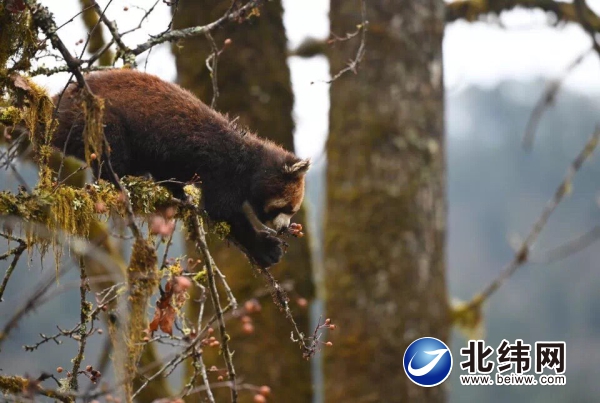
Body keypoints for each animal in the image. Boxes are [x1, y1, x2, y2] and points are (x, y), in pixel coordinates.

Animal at [50, 70, 310, 268]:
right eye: (287, 208)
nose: (284, 228)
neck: (249, 162)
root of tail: (60, 101)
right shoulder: (223, 172)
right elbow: (223, 211)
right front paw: (263, 247)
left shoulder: (172, 161)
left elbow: (170, 177)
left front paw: (180, 195)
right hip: (100, 120)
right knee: (112, 153)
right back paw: (119, 180)